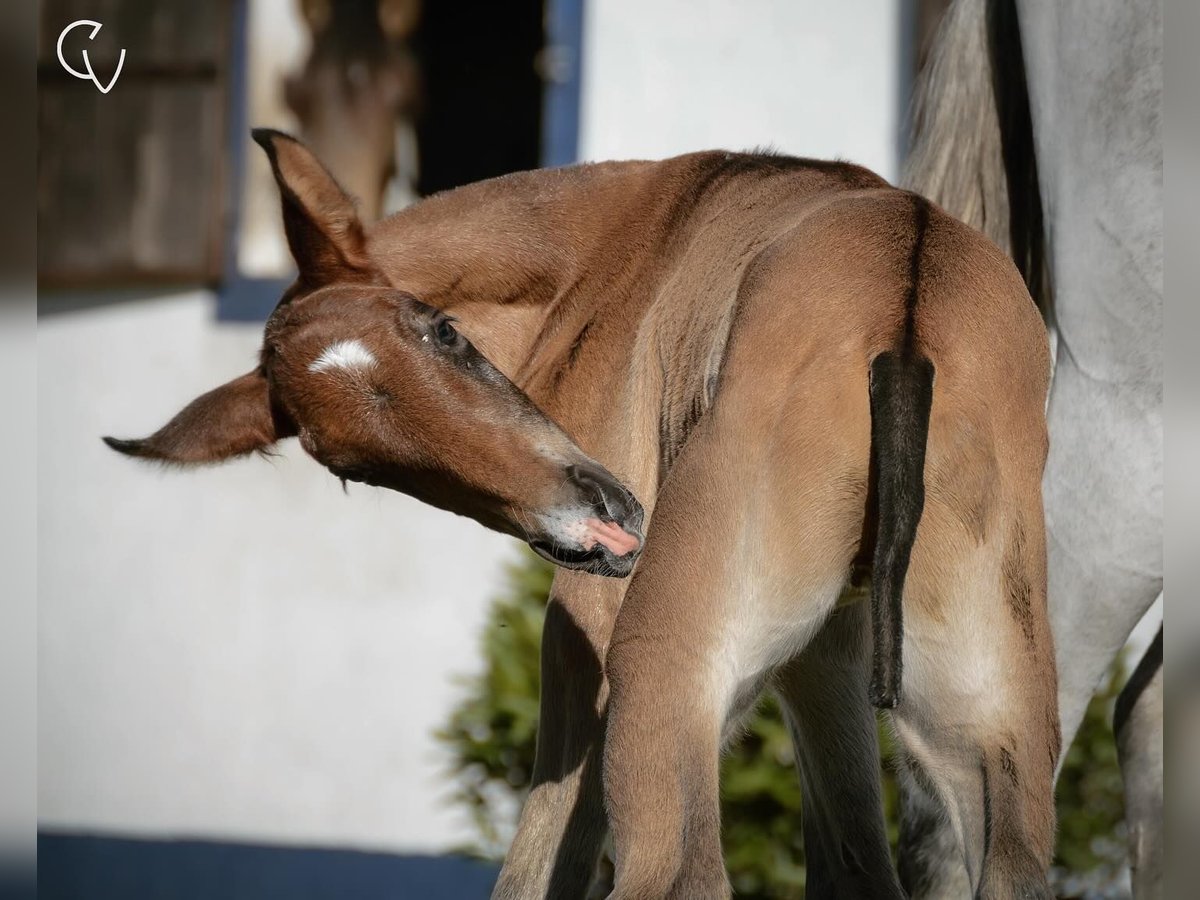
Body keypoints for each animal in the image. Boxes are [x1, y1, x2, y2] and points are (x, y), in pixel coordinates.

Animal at [108, 132, 1056, 900]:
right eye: (352, 469)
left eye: (442, 331)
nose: (597, 524)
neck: (617, 248)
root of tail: (904, 314)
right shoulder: (824, 656)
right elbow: (854, 863)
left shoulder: (582, 638)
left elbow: (533, 871)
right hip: (991, 733)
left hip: (661, 675)